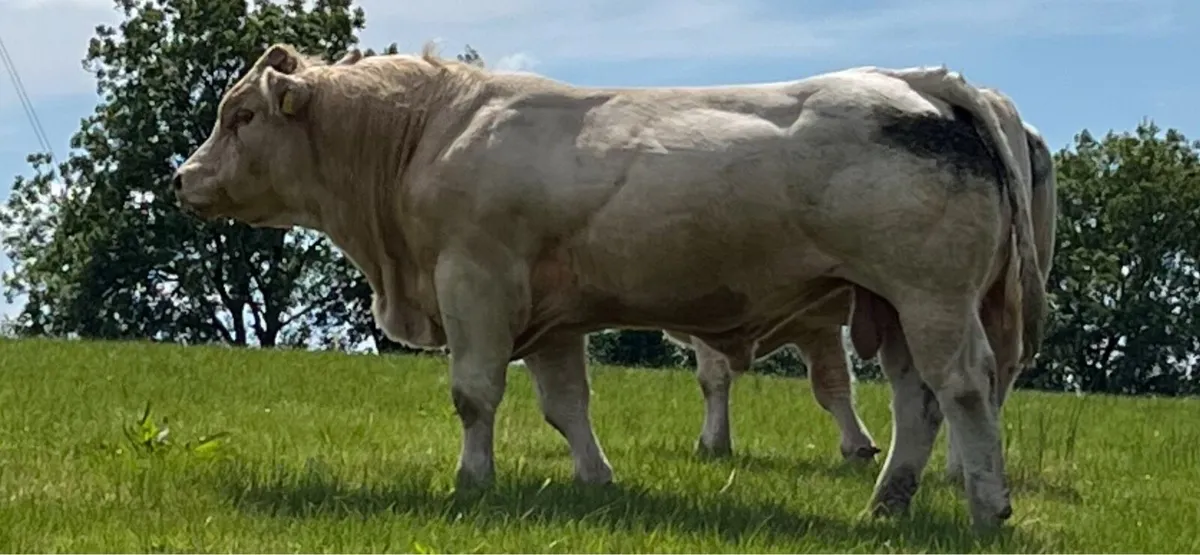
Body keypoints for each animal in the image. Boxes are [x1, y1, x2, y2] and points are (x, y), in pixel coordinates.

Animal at [173, 43, 1048, 531]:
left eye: (240, 115)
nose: (183, 178)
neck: (432, 130)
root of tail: (918, 82)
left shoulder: (476, 280)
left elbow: (474, 394)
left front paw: (471, 480)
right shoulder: (552, 317)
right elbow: (567, 405)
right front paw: (596, 481)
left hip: (932, 296)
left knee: (962, 387)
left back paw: (986, 505)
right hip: (890, 307)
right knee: (916, 400)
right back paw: (887, 503)